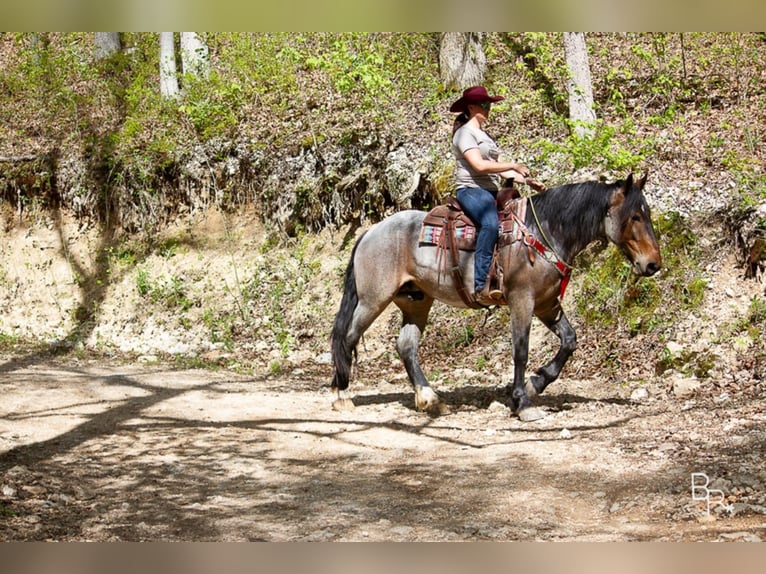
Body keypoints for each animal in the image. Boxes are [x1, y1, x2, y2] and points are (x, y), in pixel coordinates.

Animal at [332, 173, 664, 420]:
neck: (544, 233)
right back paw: (342, 394)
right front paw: (522, 403)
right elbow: (521, 350)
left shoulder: (547, 304)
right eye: (635, 216)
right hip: (374, 299)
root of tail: (371, 231)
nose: (653, 264)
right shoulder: (522, 301)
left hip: (416, 301)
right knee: (348, 337)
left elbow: (569, 341)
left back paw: (430, 399)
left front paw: (535, 384)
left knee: (406, 346)